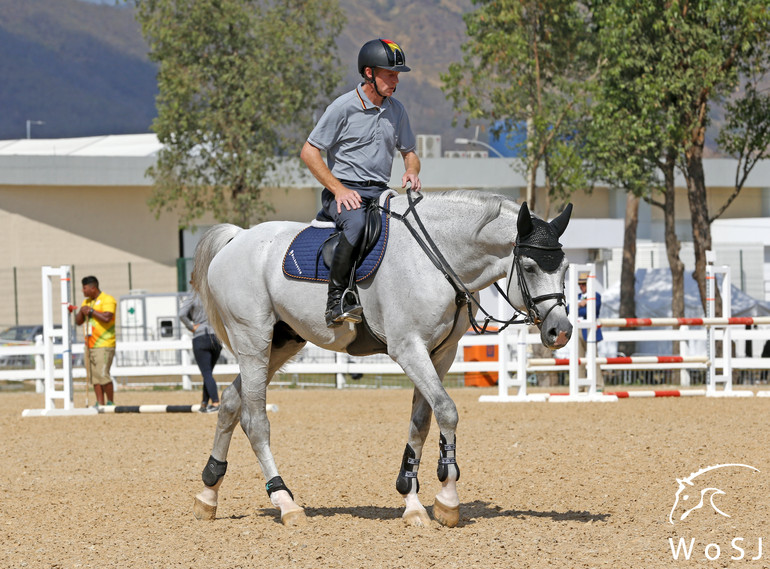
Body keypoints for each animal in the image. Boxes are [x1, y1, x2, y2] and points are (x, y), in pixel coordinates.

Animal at [190, 189, 568, 524]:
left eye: (565, 268)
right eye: (530, 267)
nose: (560, 331)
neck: (436, 258)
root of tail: (238, 238)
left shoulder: (441, 353)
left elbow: (421, 422)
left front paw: (412, 500)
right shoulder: (408, 348)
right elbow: (447, 410)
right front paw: (447, 498)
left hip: (281, 344)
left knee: (230, 403)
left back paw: (208, 494)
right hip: (253, 339)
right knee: (255, 420)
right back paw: (285, 501)